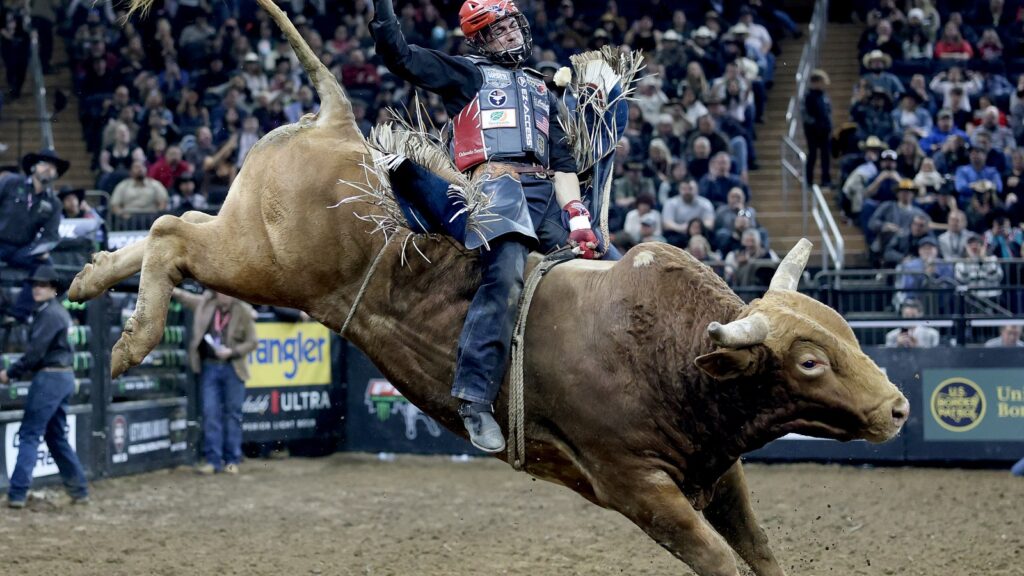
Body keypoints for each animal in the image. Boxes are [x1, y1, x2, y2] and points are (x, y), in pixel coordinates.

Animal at [70, 1, 910, 574]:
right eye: (809, 361)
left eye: (846, 334)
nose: (898, 406)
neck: (671, 355)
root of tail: (342, 126)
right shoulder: (638, 485)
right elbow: (719, 559)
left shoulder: (719, 470)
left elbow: (761, 551)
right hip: (265, 260)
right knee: (173, 232)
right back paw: (130, 341)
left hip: (250, 243)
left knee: (170, 228)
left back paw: (86, 281)